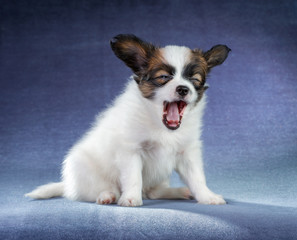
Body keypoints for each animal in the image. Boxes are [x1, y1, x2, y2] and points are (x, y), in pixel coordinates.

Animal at [25, 33, 230, 206]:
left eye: (194, 80)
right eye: (163, 77)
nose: (183, 89)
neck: (160, 124)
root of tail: (67, 185)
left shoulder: (187, 152)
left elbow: (197, 178)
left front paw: (207, 196)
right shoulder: (130, 150)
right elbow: (133, 177)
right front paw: (131, 198)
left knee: (152, 192)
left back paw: (180, 191)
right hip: (82, 169)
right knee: (94, 191)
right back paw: (107, 196)